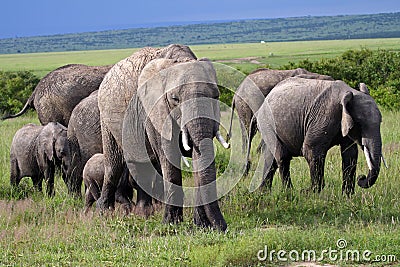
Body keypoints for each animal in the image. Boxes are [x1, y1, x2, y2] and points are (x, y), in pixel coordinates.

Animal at [95, 44, 230, 232]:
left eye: (216, 96)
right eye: (175, 99)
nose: (223, 227)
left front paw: (201, 225)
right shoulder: (155, 110)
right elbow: (169, 158)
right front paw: (171, 225)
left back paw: (143, 214)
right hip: (106, 119)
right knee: (114, 165)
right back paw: (104, 214)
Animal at [252, 78, 386, 197]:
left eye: (380, 122)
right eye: (359, 122)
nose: (361, 178)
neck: (348, 93)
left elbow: (350, 154)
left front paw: (347, 197)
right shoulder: (324, 116)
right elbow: (311, 151)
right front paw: (307, 193)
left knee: (271, 158)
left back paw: (263, 193)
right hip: (267, 123)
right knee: (282, 157)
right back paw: (289, 192)